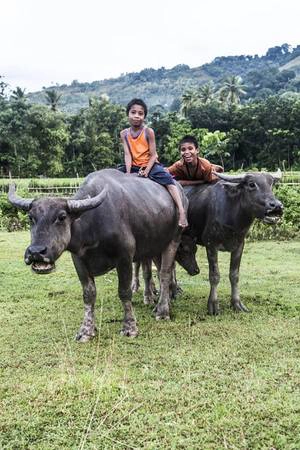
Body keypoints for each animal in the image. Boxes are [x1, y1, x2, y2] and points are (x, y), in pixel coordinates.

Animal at [8, 169, 188, 342]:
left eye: (62, 217)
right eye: (31, 217)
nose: (36, 252)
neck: (93, 226)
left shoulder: (124, 257)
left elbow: (124, 292)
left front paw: (130, 328)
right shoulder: (79, 260)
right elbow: (89, 294)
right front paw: (86, 331)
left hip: (173, 239)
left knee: (164, 274)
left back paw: (162, 311)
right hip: (154, 245)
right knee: (153, 272)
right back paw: (160, 302)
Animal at [185, 171, 284, 314]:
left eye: (271, 184)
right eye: (251, 184)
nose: (276, 206)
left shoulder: (239, 245)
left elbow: (234, 275)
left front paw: (237, 304)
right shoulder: (210, 244)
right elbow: (214, 275)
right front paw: (213, 305)